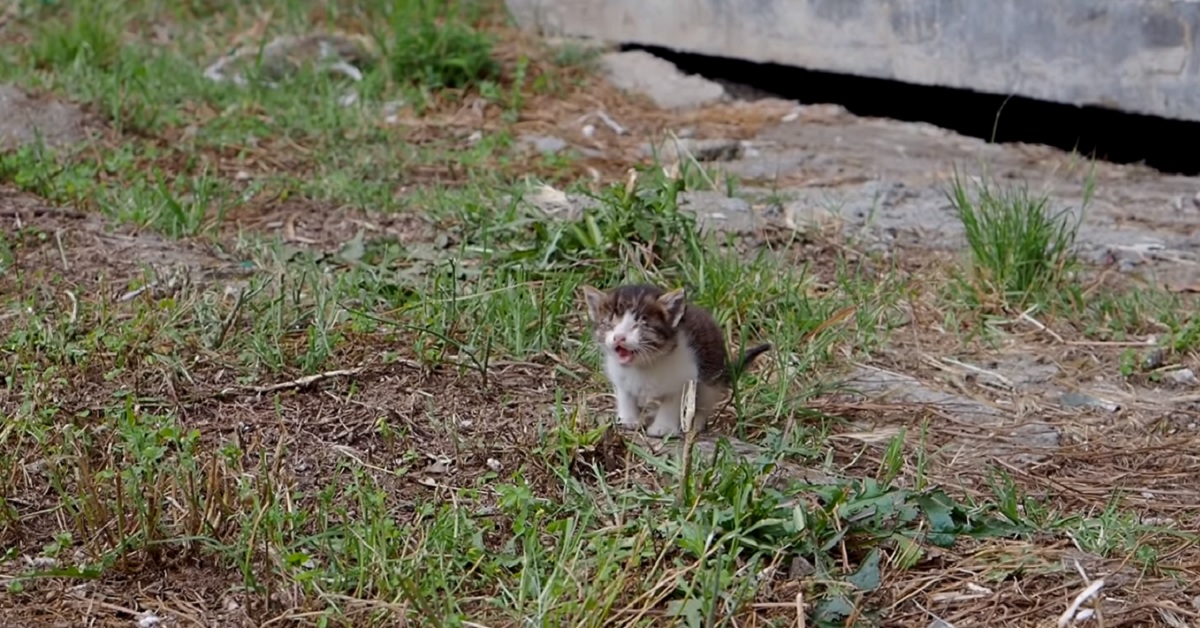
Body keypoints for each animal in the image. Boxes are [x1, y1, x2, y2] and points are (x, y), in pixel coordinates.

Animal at [578, 283, 768, 437]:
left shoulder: (684, 378)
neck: (644, 365)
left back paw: (696, 423)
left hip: (711, 376)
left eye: (639, 325)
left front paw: (662, 428)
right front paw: (629, 419)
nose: (619, 337)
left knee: (705, 400)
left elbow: (671, 405)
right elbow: (626, 396)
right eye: (609, 325)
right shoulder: (620, 377)